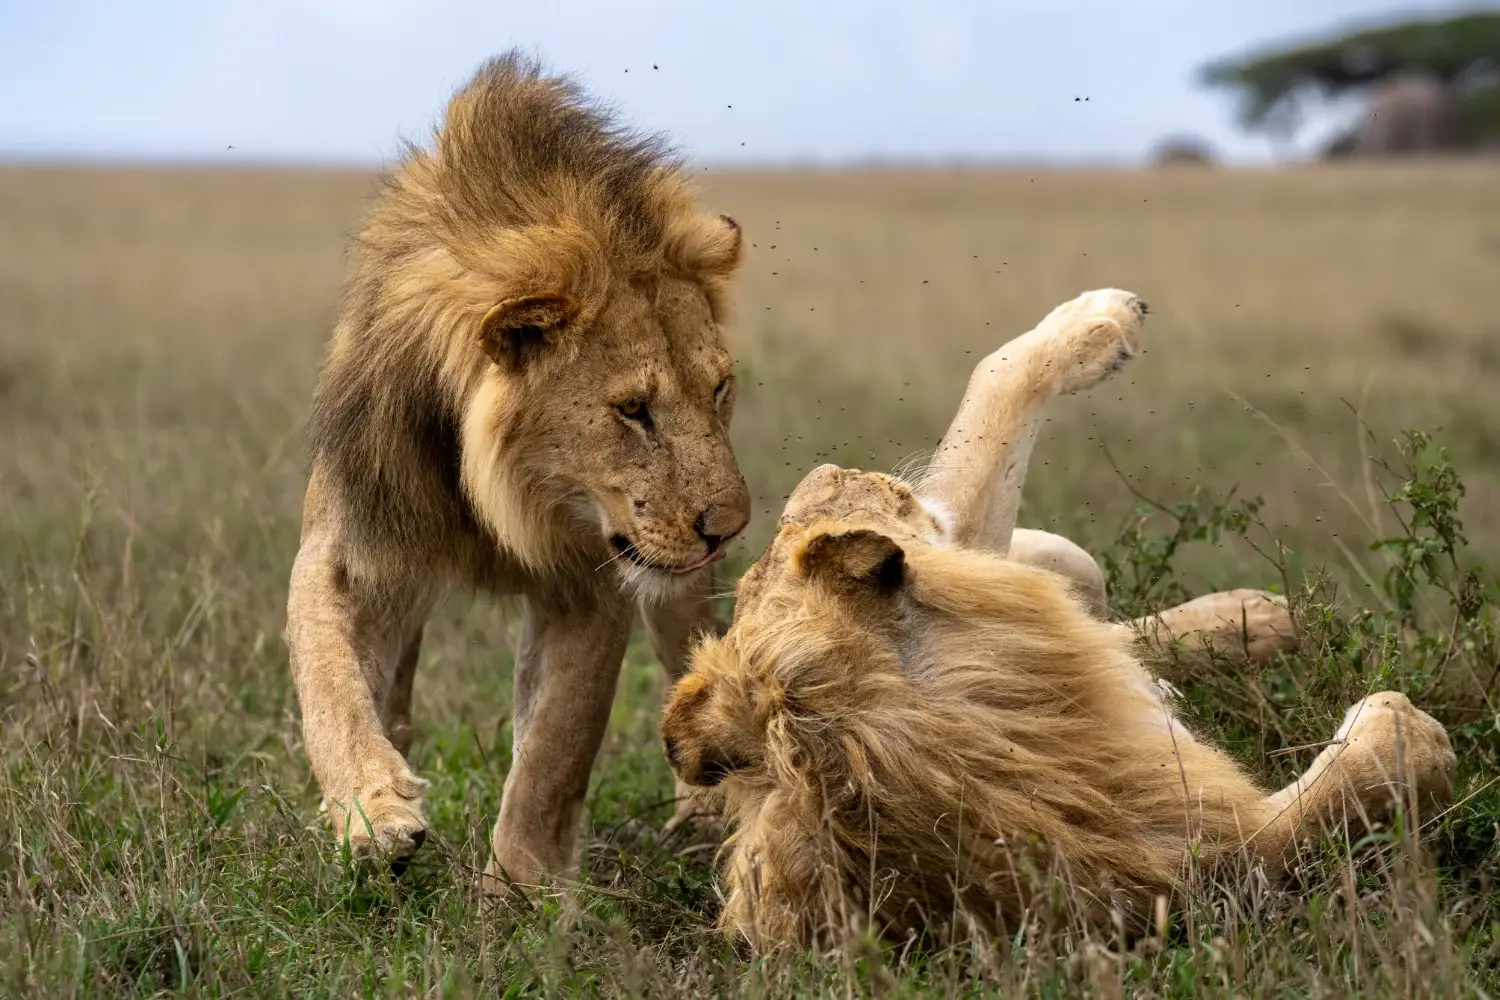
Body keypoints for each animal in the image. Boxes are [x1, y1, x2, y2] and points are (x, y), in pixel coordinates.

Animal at [285, 51, 751, 887]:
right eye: (633, 408)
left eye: (720, 388)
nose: (730, 526)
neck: (506, 495)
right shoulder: (352, 544)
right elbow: (329, 685)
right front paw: (375, 816)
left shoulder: (592, 582)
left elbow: (551, 753)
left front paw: (520, 893)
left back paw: (702, 820)